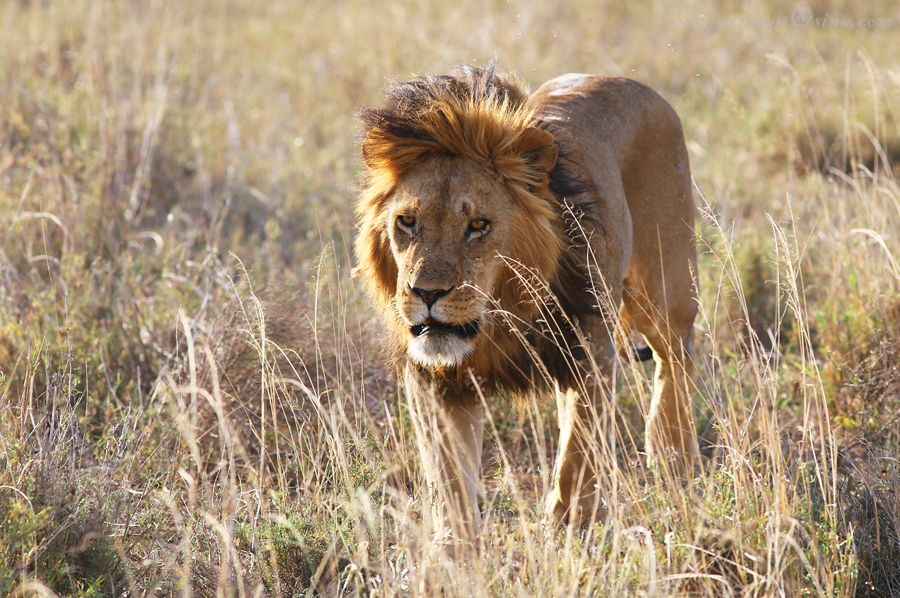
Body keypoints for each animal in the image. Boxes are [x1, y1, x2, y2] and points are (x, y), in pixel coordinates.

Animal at [356, 64, 700, 552]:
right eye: (406, 222)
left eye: (478, 225)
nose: (426, 293)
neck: (501, 317)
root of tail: (625, 80)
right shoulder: (437, 382)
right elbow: (448, 479)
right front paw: (454, 554)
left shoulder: (590, 356)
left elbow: (577, 455)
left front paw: (570, 532)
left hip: (665, 287)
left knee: (677, 356)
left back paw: (671, 452)